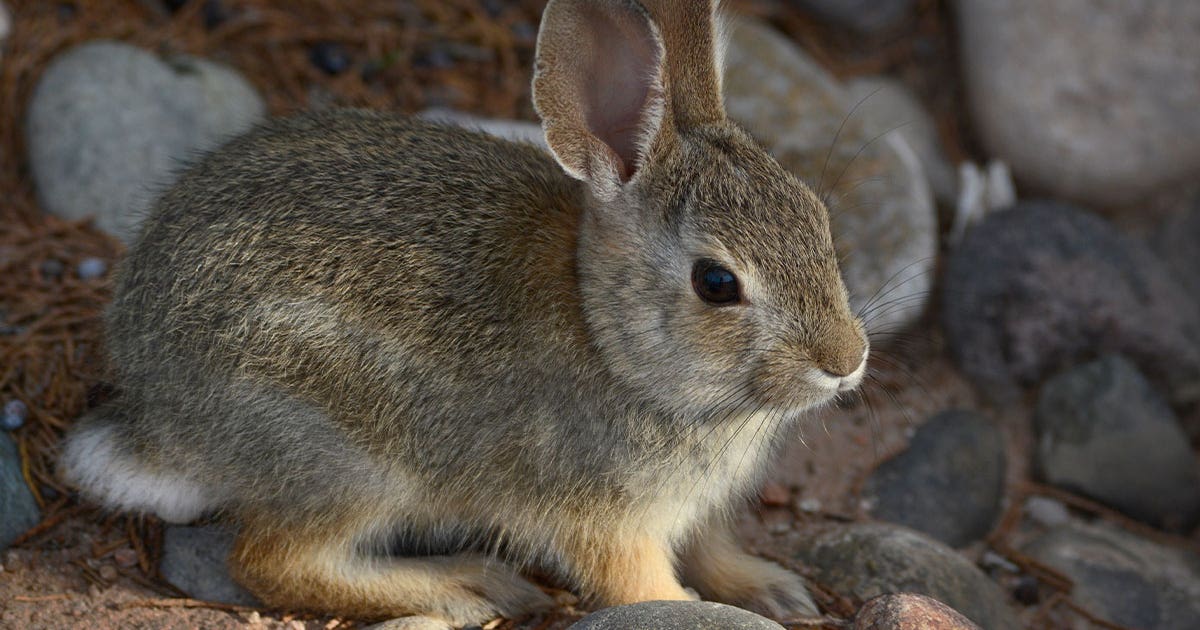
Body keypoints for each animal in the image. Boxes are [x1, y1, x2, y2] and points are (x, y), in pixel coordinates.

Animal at [59, 0, 869, 626]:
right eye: (716, 283)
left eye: (817, 219)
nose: (845, 360)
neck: (611, 336)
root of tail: (157, 414)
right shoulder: (601, 518)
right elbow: (639, 587)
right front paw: (698, 608)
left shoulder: (692, 512)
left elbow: (711, 549)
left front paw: (775, 590)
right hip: (350, 457)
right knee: (272, 562)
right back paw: (462, 589)